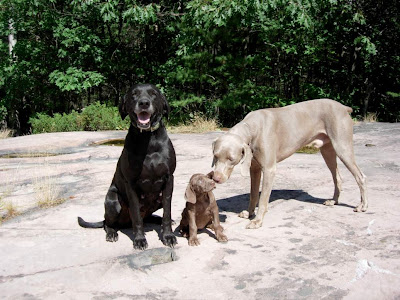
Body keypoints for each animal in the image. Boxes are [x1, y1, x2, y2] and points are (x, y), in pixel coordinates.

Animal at [78, 83, 177, 250]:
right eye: (134, 94)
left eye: (153, 93)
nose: (144, 103)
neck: (148, 139)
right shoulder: (131, 184)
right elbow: (136, 216)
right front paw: (139, 239)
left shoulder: (169, 179)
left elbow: (167, 213)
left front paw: (168, 236)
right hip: (113, 200)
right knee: (108, 223)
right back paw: (112, 233)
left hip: (157, 199)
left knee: (150, 216)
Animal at [212, 99, 368, 229]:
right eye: (215, 156)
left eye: (231, 159)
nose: (216, 178)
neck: (252, 128)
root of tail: (343, 107)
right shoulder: (254, 169)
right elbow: (254, 194)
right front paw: (249, 213)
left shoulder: (269, 169)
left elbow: (263, 199)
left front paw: (257, 221)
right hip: (327, 150)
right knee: (337, 177)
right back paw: (333, 201)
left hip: (342, 146)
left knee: (360, 176)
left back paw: (363, 206)